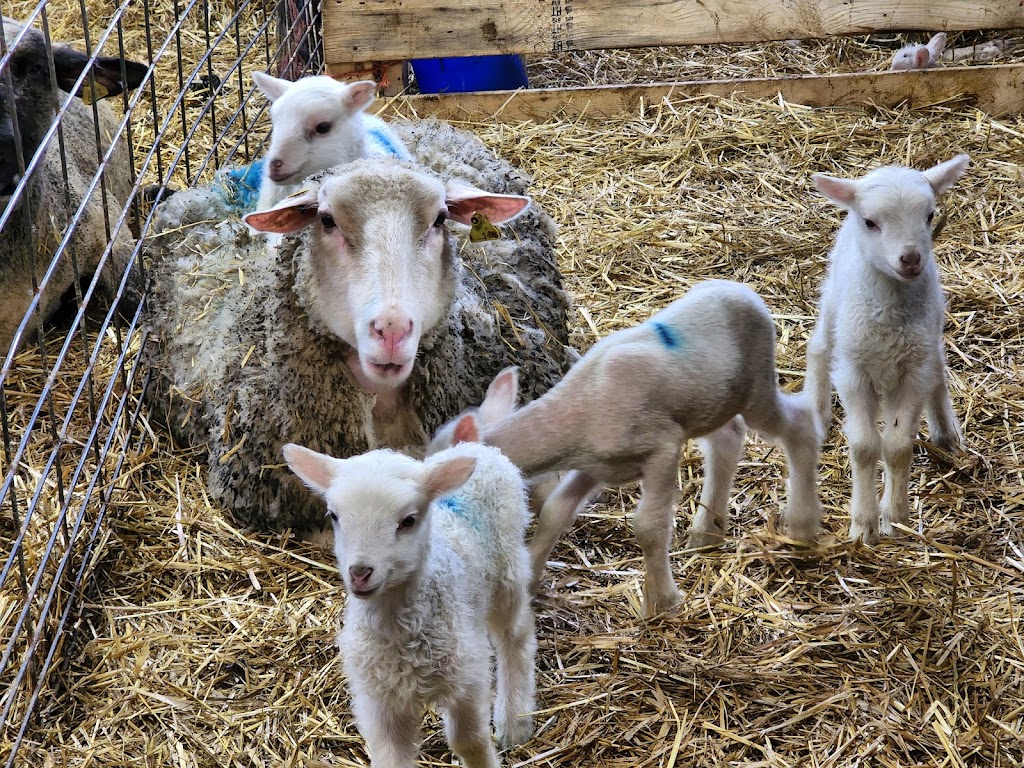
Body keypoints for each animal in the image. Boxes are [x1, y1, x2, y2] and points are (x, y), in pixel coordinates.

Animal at [282, 438, 536, 768]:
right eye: (334, 516)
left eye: (408, 521)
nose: (360, 572)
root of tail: (477, 447)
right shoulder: (378, 697)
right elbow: (390, 755)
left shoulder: (467, 678)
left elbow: (470, 742)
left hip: (508, 569)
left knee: (515, 637)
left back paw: (515, 720)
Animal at [432, 280, 823, 618]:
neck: (579, 408)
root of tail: (741, 289)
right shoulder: (593, 464)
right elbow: (555, 511)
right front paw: (531, 578)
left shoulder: (662, 446)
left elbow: (649, 527)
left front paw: (663, 601)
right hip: (711, 401)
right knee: (728, 437)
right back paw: (707, 532)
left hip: (755, 383)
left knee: (799, 424)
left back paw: (802, 525)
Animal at [806, 153, 966, 544]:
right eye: (870, 222)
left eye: (930, 215)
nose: (910, 258)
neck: (890, 317)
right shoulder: (854, 370)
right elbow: (865, 447)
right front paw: (863, 525)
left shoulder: (913, 368)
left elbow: (897, 446)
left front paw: (894, 516)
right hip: (835, 302)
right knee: (819, 347)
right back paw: (816, 411)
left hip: (931, 330)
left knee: (939, 368)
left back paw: (945, 430)